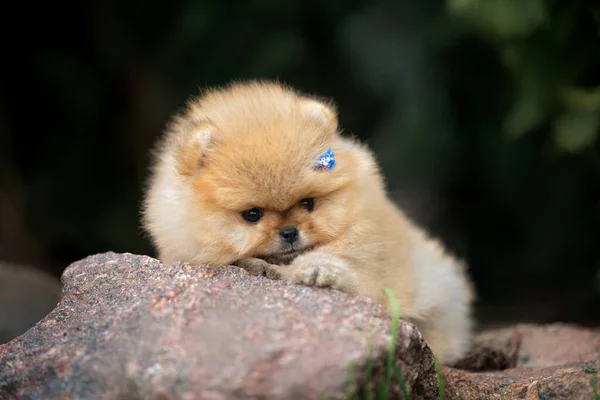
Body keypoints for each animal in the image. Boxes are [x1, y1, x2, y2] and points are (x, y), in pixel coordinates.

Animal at [141, 79, 474, 364]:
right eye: (252, 214)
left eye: (307, 203)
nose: (290, 232)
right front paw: (258, 266)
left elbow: (352, 273)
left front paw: (318, 269)